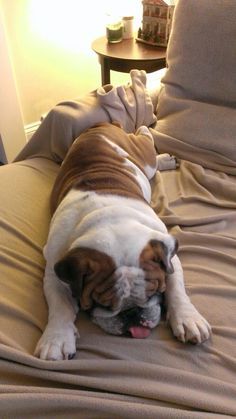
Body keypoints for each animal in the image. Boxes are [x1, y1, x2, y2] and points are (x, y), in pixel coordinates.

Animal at [34, 122, 211, 360]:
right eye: (102, 304)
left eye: (154, 292)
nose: (132, 313)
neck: (110, 220)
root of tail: (99, 126)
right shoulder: (54, 274)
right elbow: (60, 306)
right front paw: (56, 338)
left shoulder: (170, 259)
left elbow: (177, 290)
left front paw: (188, 319)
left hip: (142, 156)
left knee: (148, 147)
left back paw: (153, 140)